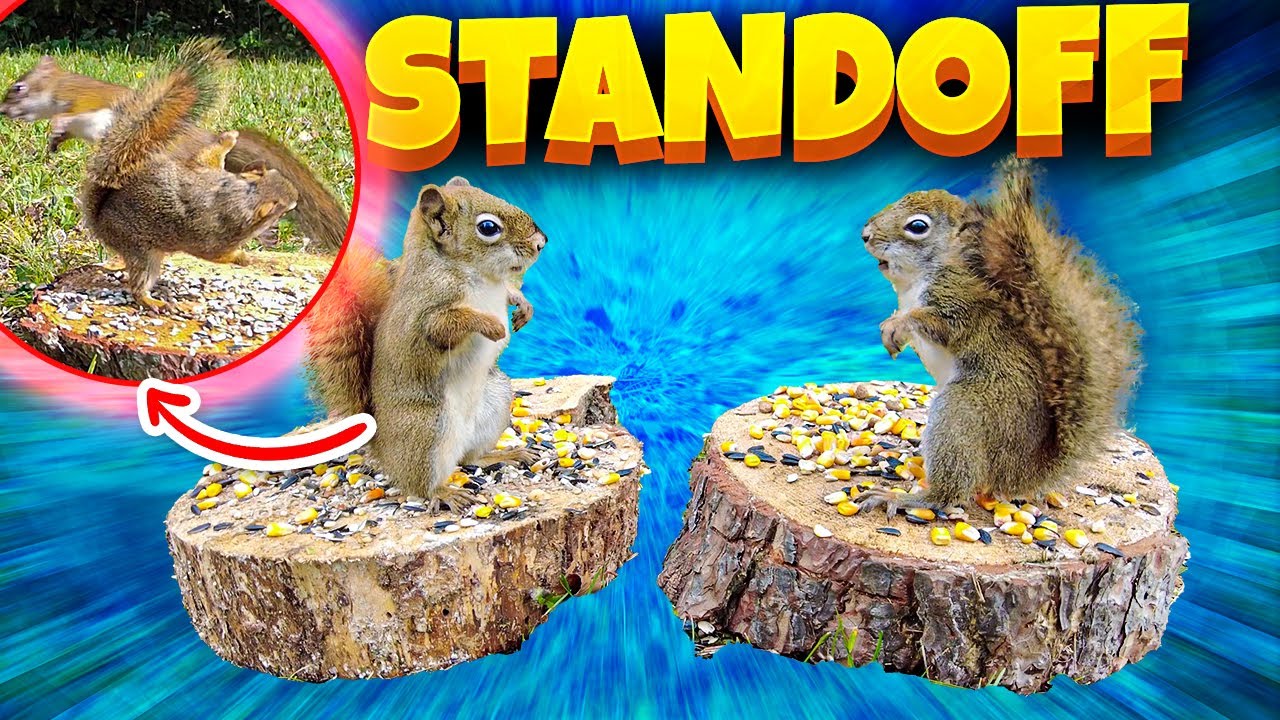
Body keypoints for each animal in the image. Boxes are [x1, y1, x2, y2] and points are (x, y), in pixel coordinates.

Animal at [1, 55, 348, 253]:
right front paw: (55, 140)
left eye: (18, 87)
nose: (4, 111)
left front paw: (57, 126)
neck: (60, 91)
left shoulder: (90, 102)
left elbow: (78, 116)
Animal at [79, 38, 300, 310]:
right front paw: (244, 258)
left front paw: (229, 138)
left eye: (273, 173)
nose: (296, 195)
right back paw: (153, 301)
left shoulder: (206, 169)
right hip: (140, 250)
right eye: (280, 207)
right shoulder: (214, 237)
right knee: (139, 284)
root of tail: (99, 217)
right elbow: (216, 254)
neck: (242, 196)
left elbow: (209, 156)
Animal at [305, 177, 547, 509]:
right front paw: (493, 326)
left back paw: (507, 454)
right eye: (488, 227)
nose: (541, 242)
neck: (478, 274)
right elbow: (447, 325)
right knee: (420, 484)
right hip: (427, 428)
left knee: (470, 457)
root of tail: (382, 446)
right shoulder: (428, 311)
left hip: (495, 402)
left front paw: (523, 306)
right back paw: (445, 492)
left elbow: (510, 292)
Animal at [855, 157, 1140, 518]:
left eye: (918, 226)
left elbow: (939, 325)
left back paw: (904, 498)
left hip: (962, 413)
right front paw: (890, 329)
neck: (918, 279)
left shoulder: (960, 303)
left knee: (952, 490)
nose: (865, 235)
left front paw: (900, 325)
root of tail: (1021, 471)